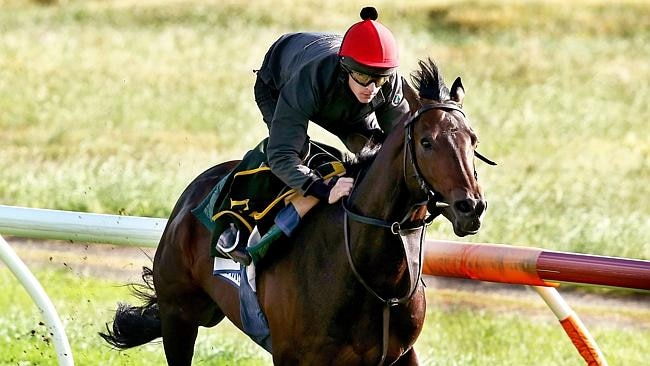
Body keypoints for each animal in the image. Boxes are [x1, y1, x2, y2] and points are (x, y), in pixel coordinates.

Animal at [100, 58, 486, 364]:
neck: (371, 276)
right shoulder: (293, 356)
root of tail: (190, 197)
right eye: (426, 142)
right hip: (177, 316)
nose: (471, 206)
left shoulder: (400, 356)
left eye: (473, 140)